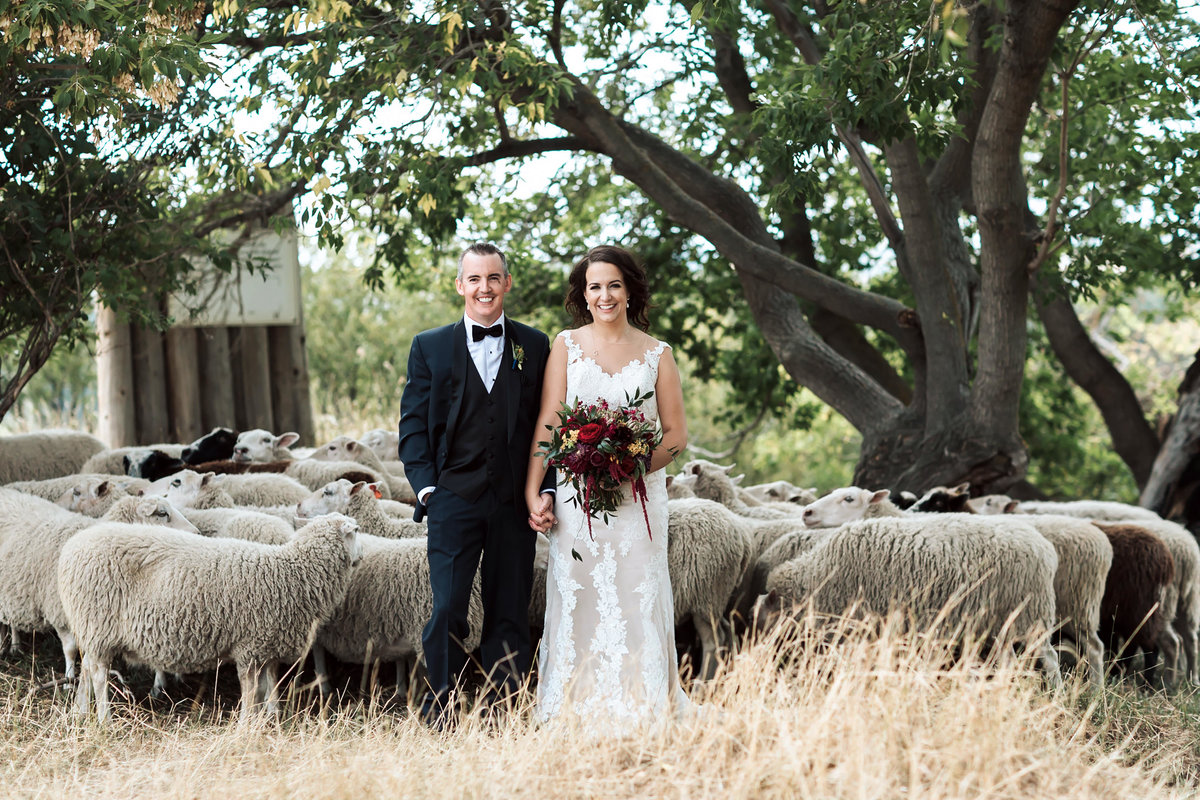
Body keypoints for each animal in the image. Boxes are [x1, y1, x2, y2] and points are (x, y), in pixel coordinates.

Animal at [0, 491, 196, 681]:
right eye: (161, 513)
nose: (197, 532)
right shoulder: (60, 613)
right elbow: (70, 648)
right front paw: (69, 678)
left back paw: (15, 645)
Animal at [59, 513, 360, 724]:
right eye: (356, 531)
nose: (360, 558)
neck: (293, 571)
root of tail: (70, 550)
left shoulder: (265, 646)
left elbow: (269, 685)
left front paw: (271, 718)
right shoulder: (249, 647)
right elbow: (251, 691)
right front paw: (246, 725)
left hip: (91, 631)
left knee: (87, 671)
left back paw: (80, 713)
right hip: (98, 624)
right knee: (98, 675)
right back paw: (104, 719)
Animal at [763, 515, 1065, 686]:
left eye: (766, 622)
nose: (765, 661)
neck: (818, 579)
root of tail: (1045, 547)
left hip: (1032, 615)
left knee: (1050, 659)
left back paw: (1056, 695)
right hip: (1002, 623)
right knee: (1009, 662)